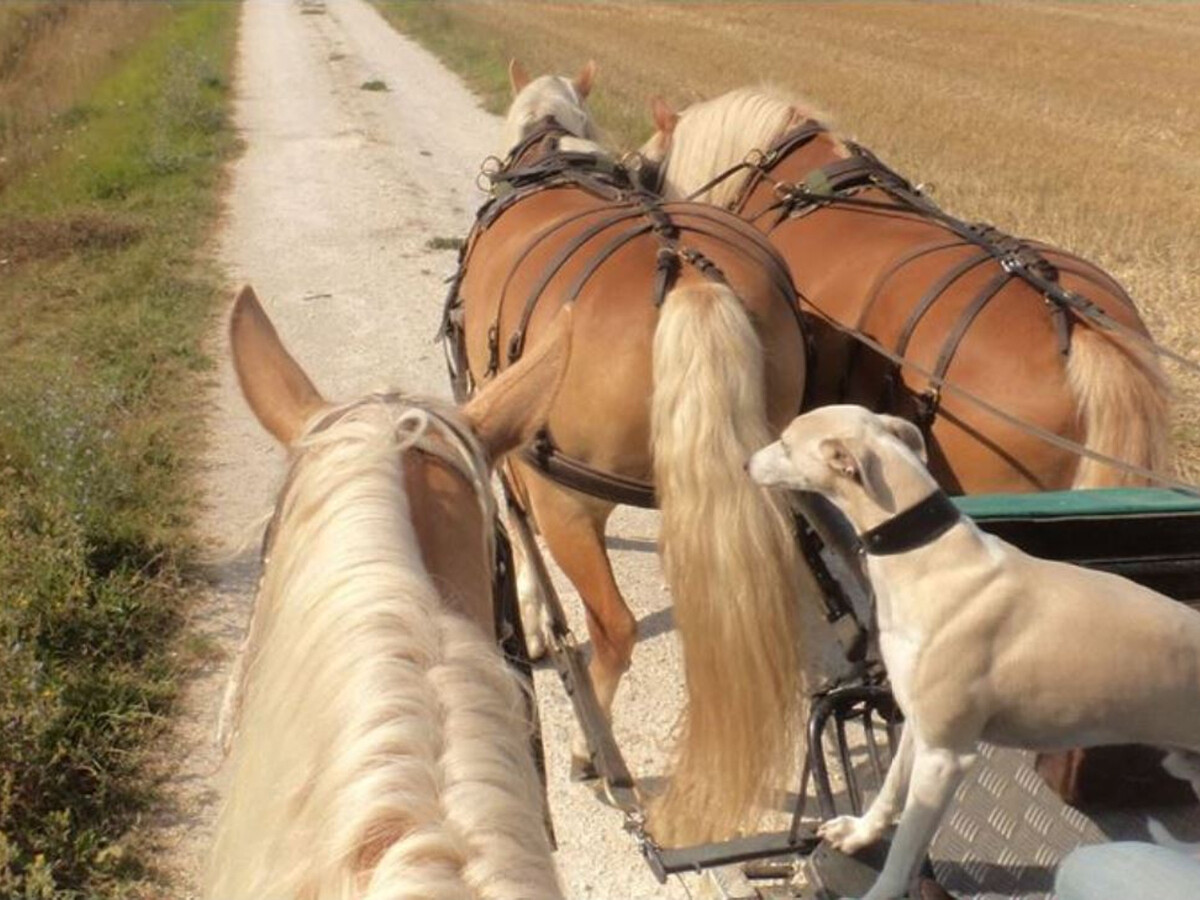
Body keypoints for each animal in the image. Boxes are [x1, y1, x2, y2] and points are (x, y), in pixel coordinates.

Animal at [445, 62, 838, 846]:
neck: (551, 150)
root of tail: (685, 270)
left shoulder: (510, 438)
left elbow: (518, 534)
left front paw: (532, 616)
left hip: (571, 502)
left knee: (614, 628)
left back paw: (590, 752)